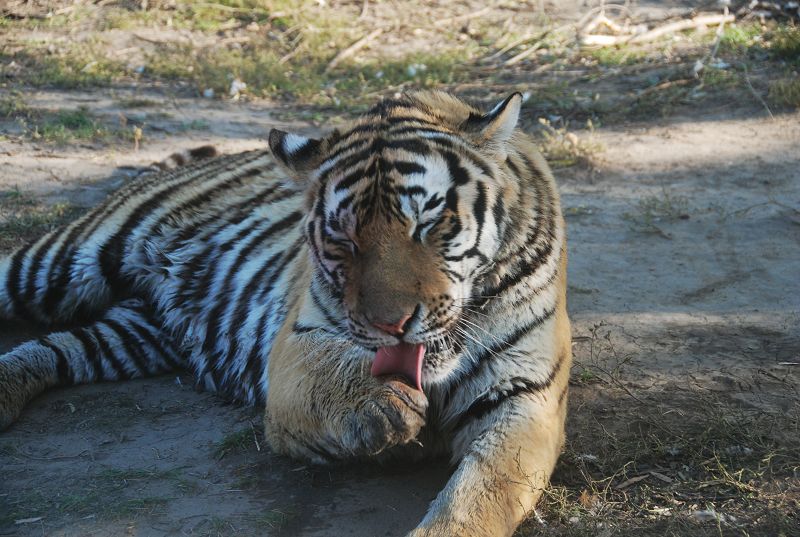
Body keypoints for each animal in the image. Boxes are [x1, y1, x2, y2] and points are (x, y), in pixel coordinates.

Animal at [0, 91, 571, 537]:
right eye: (344, 238)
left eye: (429, 224)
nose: (391, 325)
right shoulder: (292, 347)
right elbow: (328, 373)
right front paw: (383, 406)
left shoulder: (524, 398)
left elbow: (480, 497)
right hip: (59, 262)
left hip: (133, 336)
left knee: (56, 347)